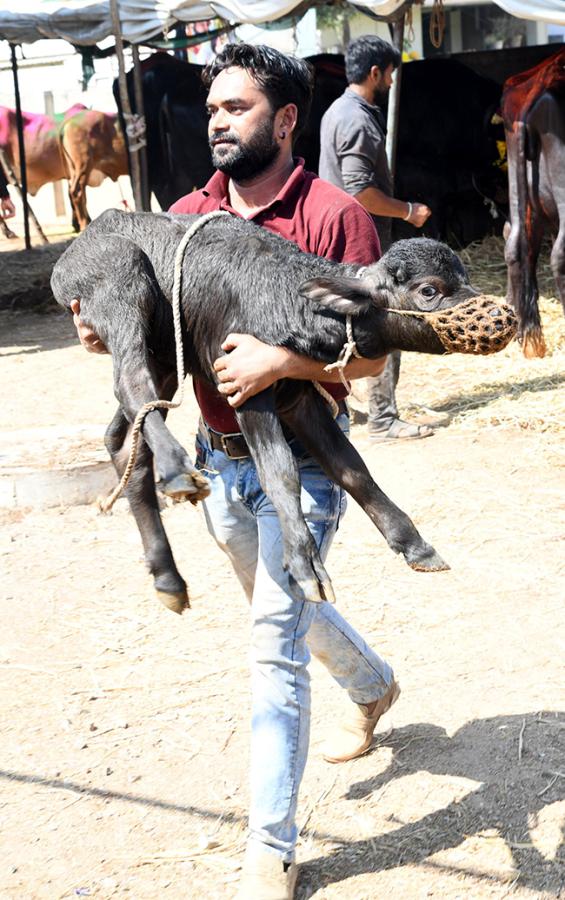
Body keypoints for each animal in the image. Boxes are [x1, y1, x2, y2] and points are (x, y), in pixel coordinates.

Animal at [51, 213, 506, 612]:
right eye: (429, 290)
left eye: (464, 277)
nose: (500, 316)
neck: (289, 300)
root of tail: (84, 239)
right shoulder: (245, 391)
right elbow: (280, 473)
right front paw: (306, 567)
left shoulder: (298, 398)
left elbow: (351, 468)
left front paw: (416, 546)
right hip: (122, 284)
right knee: (130, 382)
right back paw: (178, 472)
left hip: (163, 357)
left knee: (125, 438)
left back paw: (168, 577)